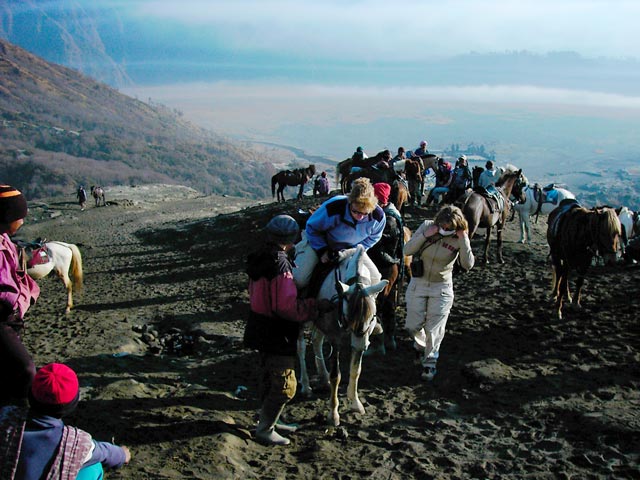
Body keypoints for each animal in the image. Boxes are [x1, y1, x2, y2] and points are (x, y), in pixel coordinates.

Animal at [296, 246, 384, 426]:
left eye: (372, 317)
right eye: (347, 315)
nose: (362, 343)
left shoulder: (359, 338)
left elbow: (356, 370)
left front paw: (356, 403)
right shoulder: (335, 338)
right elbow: (336, 376)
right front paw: (333, 413)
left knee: (316, 341)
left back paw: (322, 377)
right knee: (301, 348)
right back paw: (306, 386)